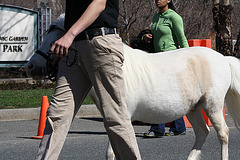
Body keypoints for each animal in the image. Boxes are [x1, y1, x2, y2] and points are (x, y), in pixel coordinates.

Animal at [26, 15, 240, 160]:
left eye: (59, 31)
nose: (31, 66)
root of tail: (223, 58)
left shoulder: (123, 116)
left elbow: (113, 152)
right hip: (193, 109)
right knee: (203, 132)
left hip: (212, 105)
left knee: (223, 133)